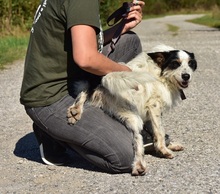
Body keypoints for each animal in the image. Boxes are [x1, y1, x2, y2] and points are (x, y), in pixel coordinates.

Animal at [67, 45, 198, 176]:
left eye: (190, 63)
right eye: (175, 63)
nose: (186, 76)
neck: (161, 72)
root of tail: (105, 81)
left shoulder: (148, 113)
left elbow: (155, 130)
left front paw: (169, 145)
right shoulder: (154, 106)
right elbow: (160, 131)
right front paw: (163, 150)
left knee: (84, 91)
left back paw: (75, 110)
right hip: (133, 115)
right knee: (137, 139)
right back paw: (139, 164)